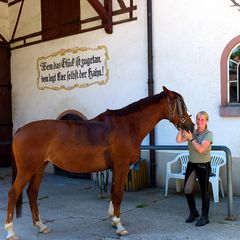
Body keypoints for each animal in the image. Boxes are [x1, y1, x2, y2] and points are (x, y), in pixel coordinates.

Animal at [4, 86, 194, 240]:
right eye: (178, 105)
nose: (190, 126)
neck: (128, 125)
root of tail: (20, 130)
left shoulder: (115, 168)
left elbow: (113, 191)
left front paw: (113, 220)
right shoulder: (121, 165)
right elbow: (118, 193)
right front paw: (119, 225)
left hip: (39, 168)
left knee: (32, 193)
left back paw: (41, 226)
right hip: (27, 169)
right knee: (13, 193)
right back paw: (11, 231)